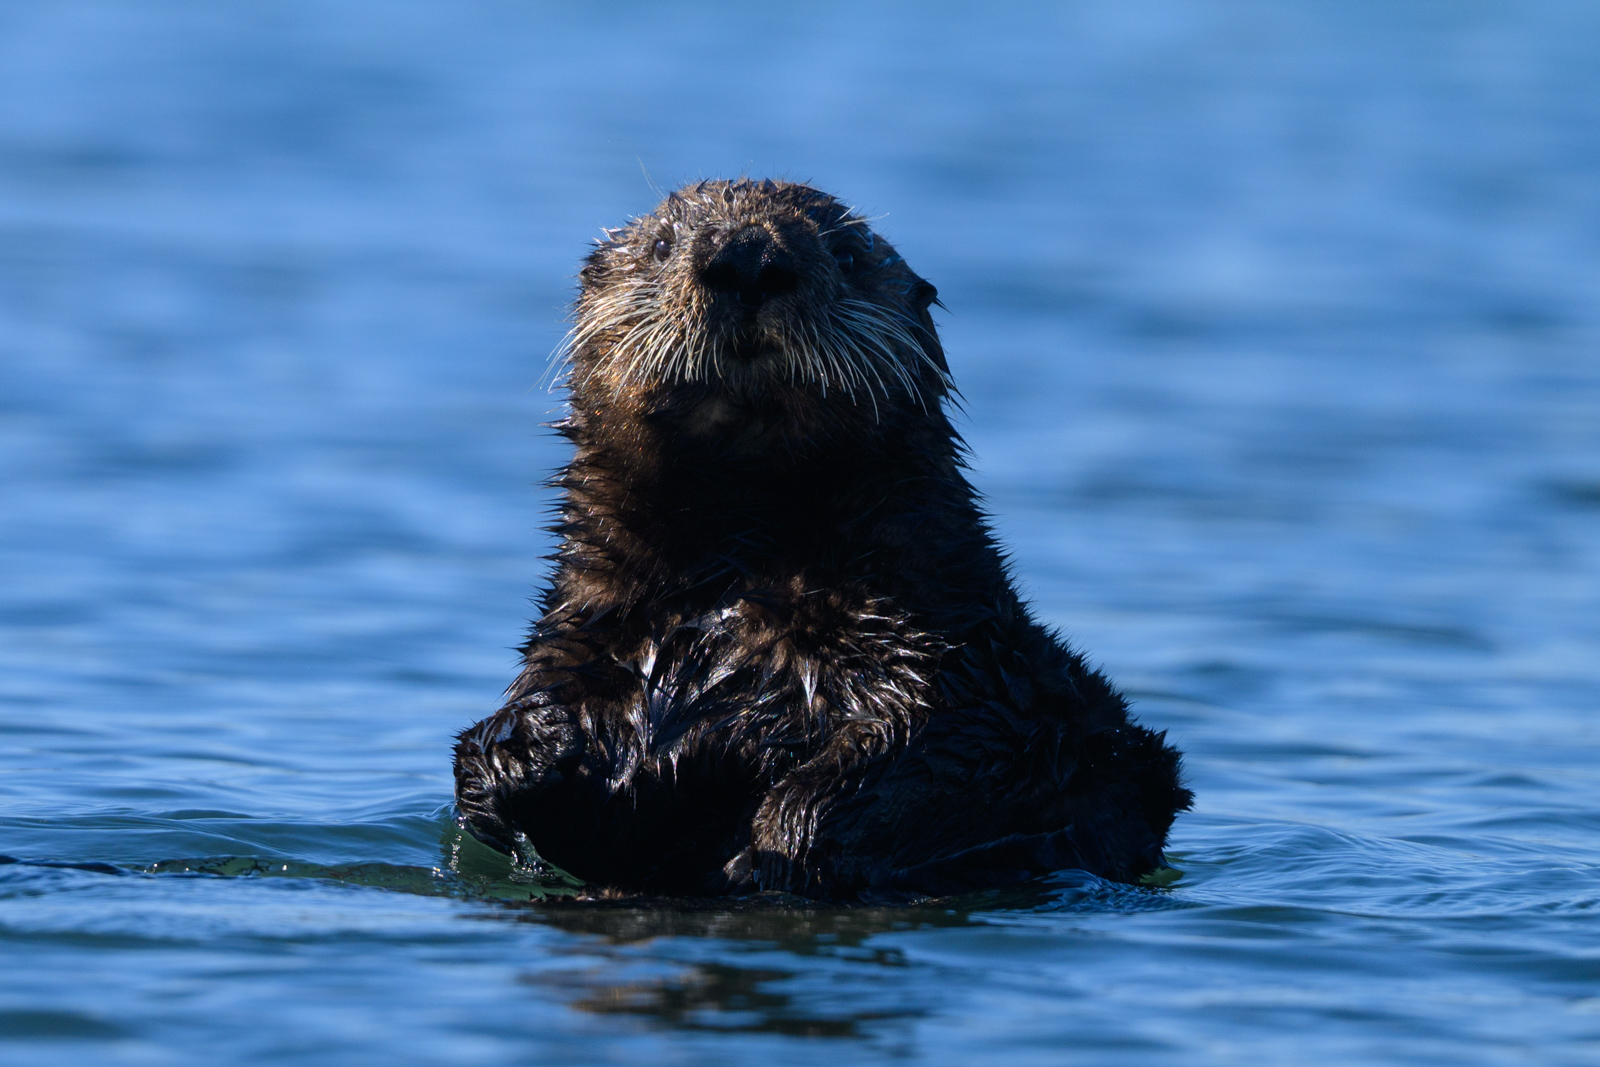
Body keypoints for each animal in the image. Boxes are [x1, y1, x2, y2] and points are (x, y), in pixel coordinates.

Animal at [453, 179, 1190, 900]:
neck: (738, 571)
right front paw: (534, 741)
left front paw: (780, 835)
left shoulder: (974, 673)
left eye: (847, 255)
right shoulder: (588, 644)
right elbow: (498, 775)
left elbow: (937, 740)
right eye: (661, 245)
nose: (748, 258)